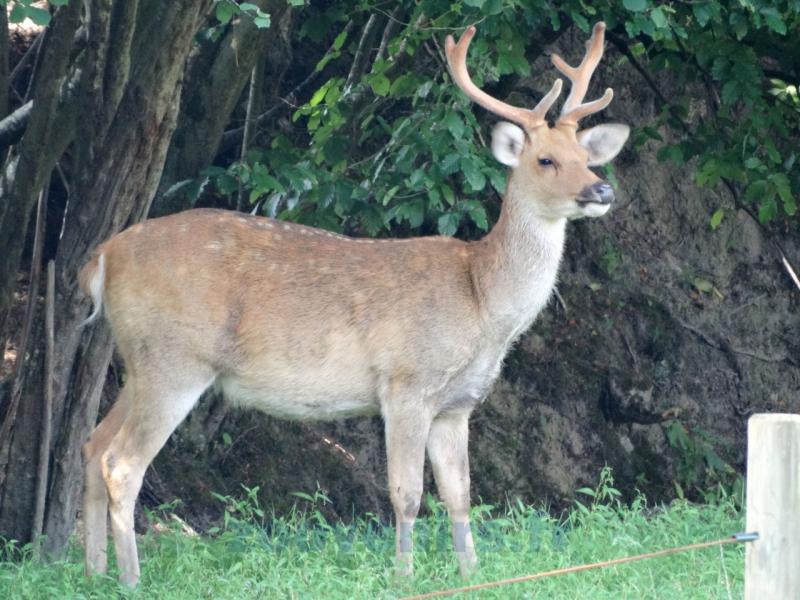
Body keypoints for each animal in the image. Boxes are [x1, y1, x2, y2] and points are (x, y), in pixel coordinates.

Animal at [79, 22, 629, 586]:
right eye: (546, 159)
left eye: (588, 156)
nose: (601, 190)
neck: (481, 301)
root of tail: (102, 258)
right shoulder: (407, 382)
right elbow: (407, 494)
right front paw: (404, 578)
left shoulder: (457, 405)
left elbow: (460, 495)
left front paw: (472, 575)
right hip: (174, 359)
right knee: (122, 462)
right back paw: (130, 579)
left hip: (141, 362)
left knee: (92, 444)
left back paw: (93, 571)